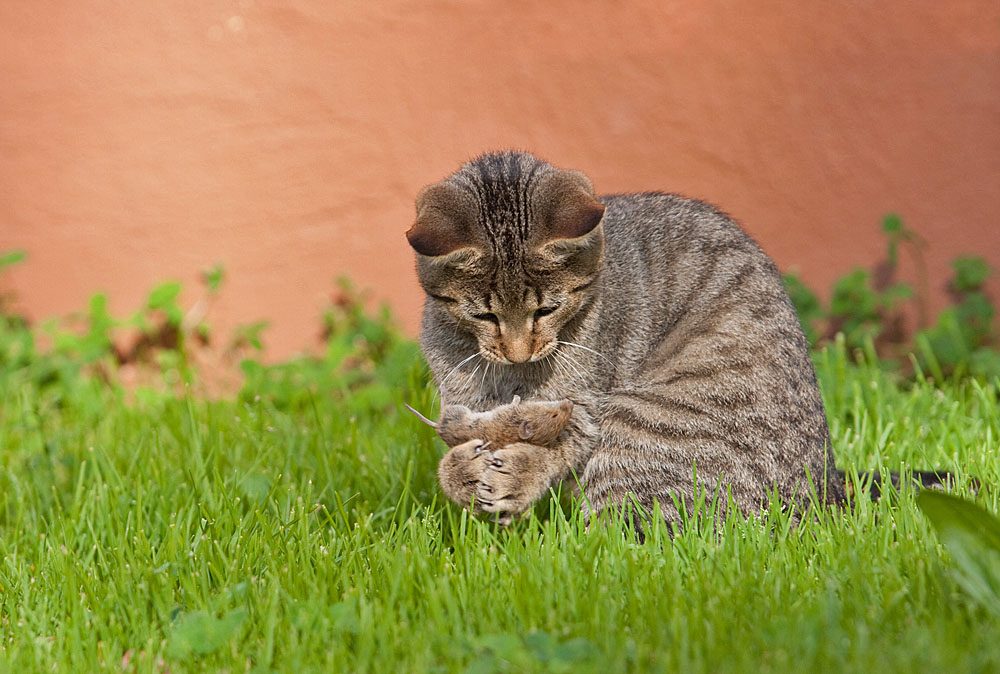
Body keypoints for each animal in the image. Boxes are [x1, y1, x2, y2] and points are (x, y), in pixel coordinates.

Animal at [406, 150, 844, 528]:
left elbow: (562, 438)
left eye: (547, 310)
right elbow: (457, 444)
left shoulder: (584, 404)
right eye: (485, 315)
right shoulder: (462, 397)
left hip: (641, 425)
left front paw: (516, 469)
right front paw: (463, 473)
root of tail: (827, 497)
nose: (518, 354)